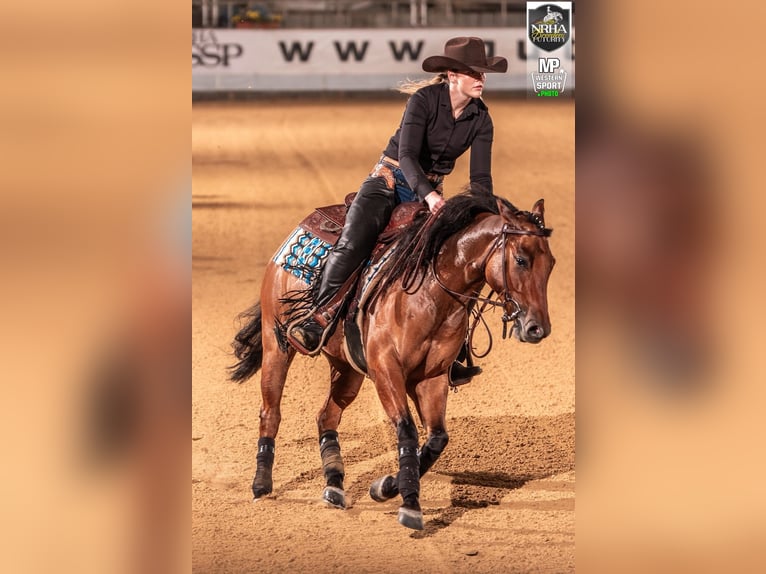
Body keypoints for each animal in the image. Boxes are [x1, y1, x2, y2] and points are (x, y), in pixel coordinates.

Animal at [229, 189, 555, 530]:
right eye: (520, 259)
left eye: (552, 263)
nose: (537, 328)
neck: (430, 295)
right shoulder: (387, 370)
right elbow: (406, 430)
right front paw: (410, 504)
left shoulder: (431, 378)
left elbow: (436, 439)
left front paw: (385, 487)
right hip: (276, 343)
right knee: (270, 411)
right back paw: (261, 485)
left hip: (347, 369)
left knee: (326, 417)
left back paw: (334, 484)